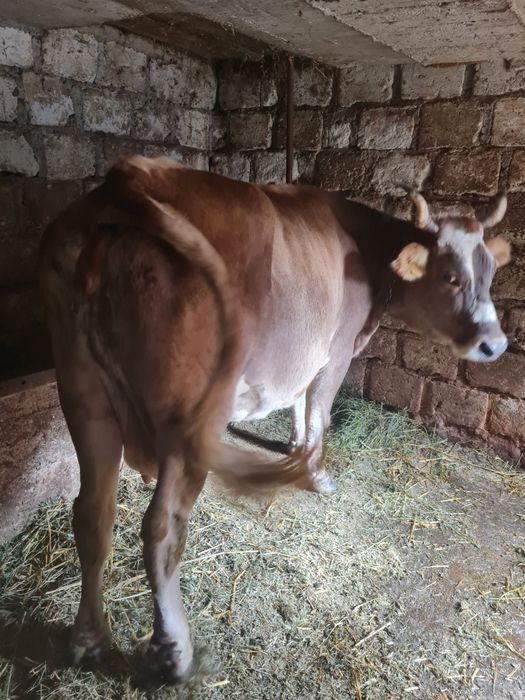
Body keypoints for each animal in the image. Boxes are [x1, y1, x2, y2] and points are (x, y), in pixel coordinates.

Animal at [38, 155, 511, 682]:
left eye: (491, 272)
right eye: (450, 276)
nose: (494, 344)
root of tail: (131, 178)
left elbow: (299, 403)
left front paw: (293, 448)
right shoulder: (337, 350)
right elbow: (320, 410)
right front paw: (318, 474)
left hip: (82, 391)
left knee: (92, 514)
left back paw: (88, 639)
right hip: (188, 416)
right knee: (161, 529)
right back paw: (174, 650)